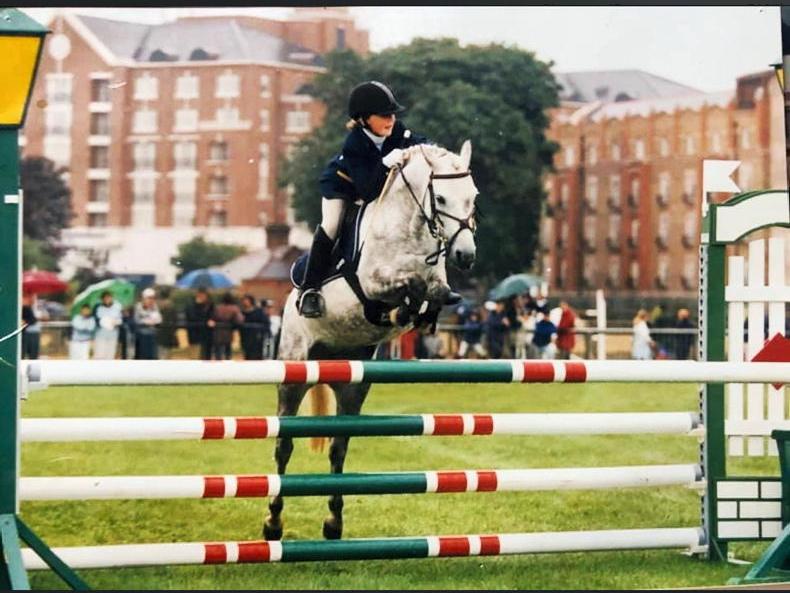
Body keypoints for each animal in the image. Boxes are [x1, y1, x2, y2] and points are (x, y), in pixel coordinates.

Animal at [263, 140, 479, 541]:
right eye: (441, 197)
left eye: (472, 196)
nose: (466, 255)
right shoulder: (374, 282)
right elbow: (409, 284)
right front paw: (400, 310)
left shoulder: (437, 281)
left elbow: (437, 291)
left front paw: (418, 313)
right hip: (294, 370)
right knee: (284, 444)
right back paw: (273, 523)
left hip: (353, 385)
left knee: (339, 447)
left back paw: (333, 524)